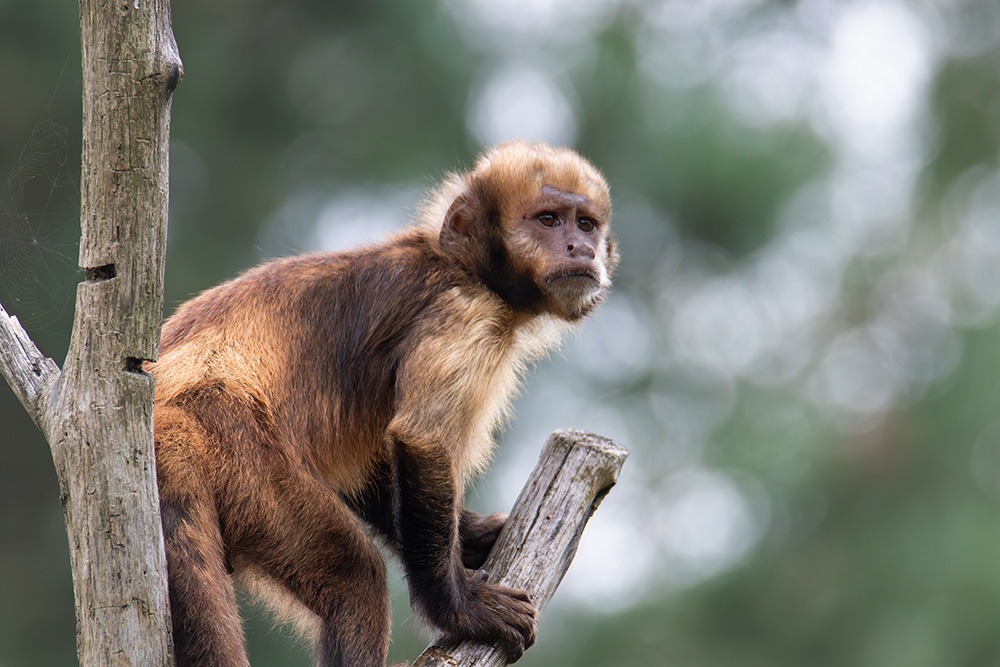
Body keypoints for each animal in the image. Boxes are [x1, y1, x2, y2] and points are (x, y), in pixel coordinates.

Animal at [150, 140, 616, 664]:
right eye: (549, 220)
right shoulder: (463, 311)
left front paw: (473, 537)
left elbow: (373, 465)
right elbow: (419, 440)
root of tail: (166, 407)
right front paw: (457, 609)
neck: (461, 265)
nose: (581, 248)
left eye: (585, 224)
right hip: (235, 442)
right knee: (355, 579)